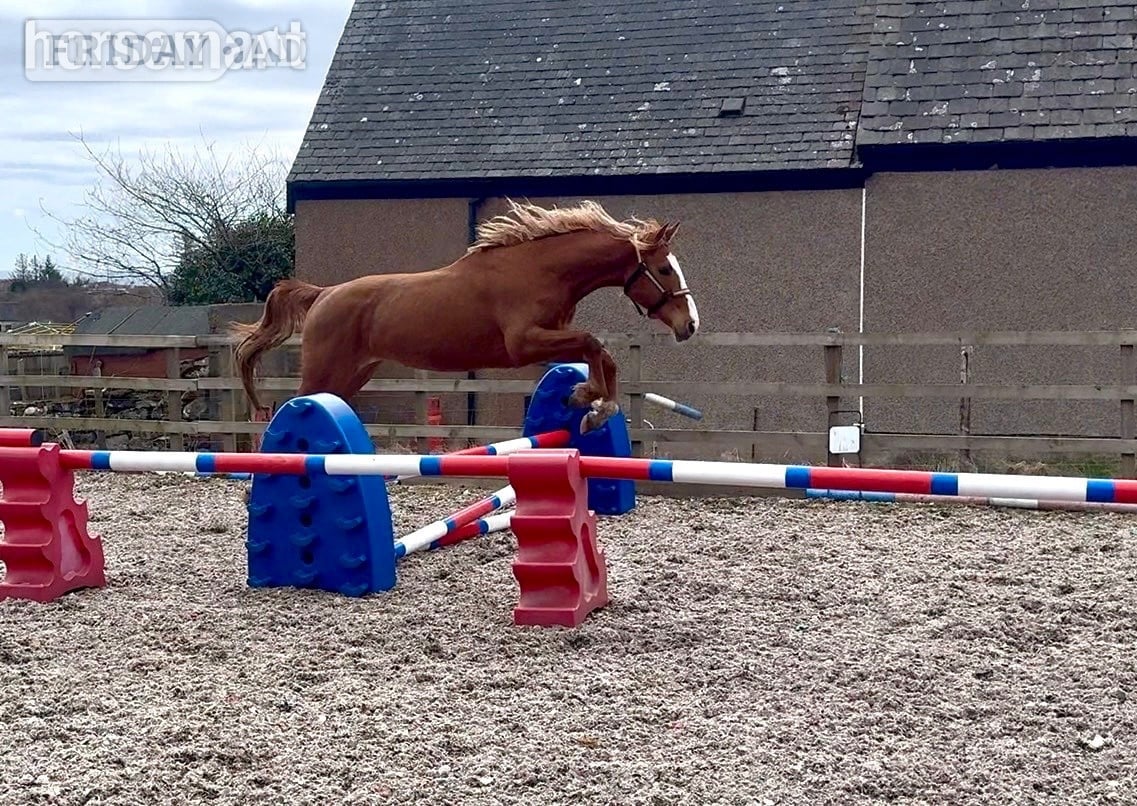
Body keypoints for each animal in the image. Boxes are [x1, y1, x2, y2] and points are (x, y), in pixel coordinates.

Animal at [230, 198, 700, 434]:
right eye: (663, 269)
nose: (690, 324)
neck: (540, 269)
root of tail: (324, 294)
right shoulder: (524, 343)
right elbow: (593, 344)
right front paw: (591, 403)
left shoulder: (549, 338)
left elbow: (600, 353)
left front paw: (587, 401)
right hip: (325, 369)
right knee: (293, 408)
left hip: (352, 374)